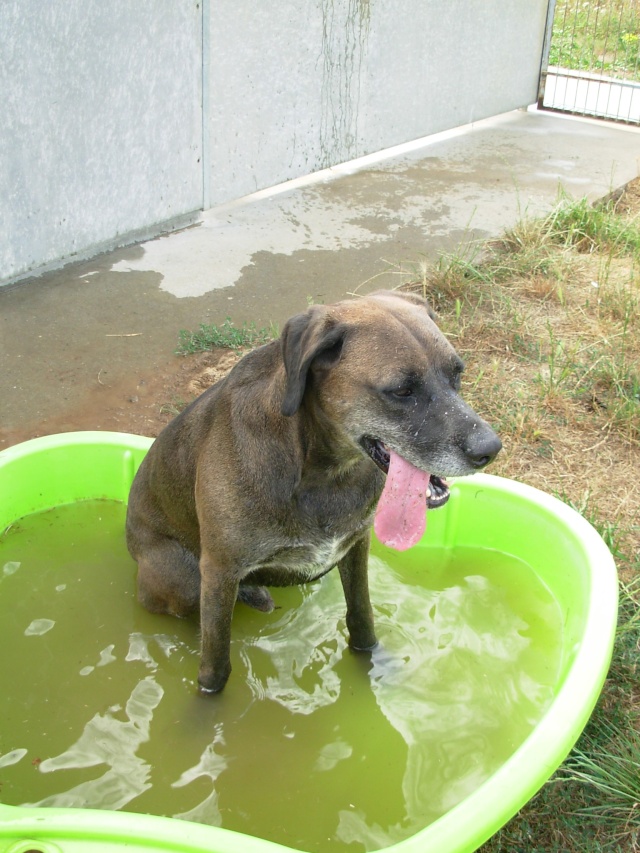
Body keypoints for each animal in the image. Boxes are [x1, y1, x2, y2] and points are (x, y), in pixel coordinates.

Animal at [127, 292, 502, 692]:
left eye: (457, 374)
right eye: (402, 390)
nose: (490, 449)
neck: (324, 472)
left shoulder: (355, 545)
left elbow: (362, 616)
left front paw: (372, 664)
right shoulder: (218, 570)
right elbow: (215, 664)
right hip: (182, 577)